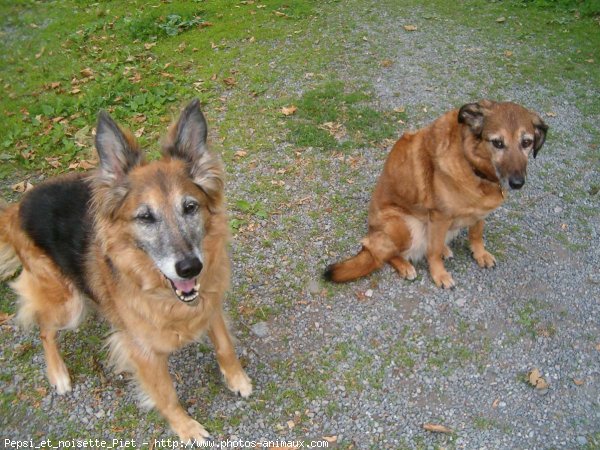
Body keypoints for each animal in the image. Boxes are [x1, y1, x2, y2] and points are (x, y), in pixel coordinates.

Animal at [326, 99, 548, 288]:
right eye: (497, 143)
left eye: (526, 142)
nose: (517, 183)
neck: (472, 165)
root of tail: (370, 233)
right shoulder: (440, 216)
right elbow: (432, 253)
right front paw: (439, 275)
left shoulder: (479, 213)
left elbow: (476, 234)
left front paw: (480, 254)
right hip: (406, 226)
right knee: (381, 253)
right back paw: (405, 266)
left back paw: (445, 249)